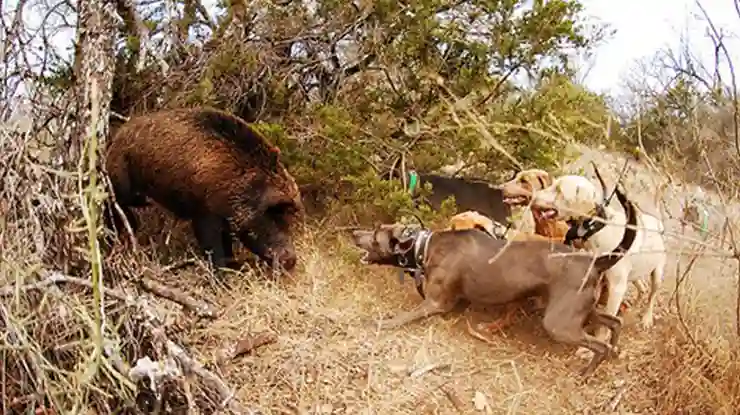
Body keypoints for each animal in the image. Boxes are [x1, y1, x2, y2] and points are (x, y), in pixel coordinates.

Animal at [352, 184, 636, 376]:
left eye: (376, 234)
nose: (354, 233)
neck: (424, 246)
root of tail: (594, 261)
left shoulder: (435, 303)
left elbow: (401, 317)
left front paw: (380, 322)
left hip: (559, 322)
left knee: (599, 345)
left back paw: (587, 372)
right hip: (579, 309)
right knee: (615, 322)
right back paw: (614, 351)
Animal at [528, 172, 668, 358]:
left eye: (558, 190)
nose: (533, 196)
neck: (597, 227)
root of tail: (656, 219)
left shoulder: (616, 287)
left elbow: (605, 323)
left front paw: (592, 348)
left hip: (657, 273)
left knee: (652, 294)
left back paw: (646, 318)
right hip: (633, 275)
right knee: (643, 288)